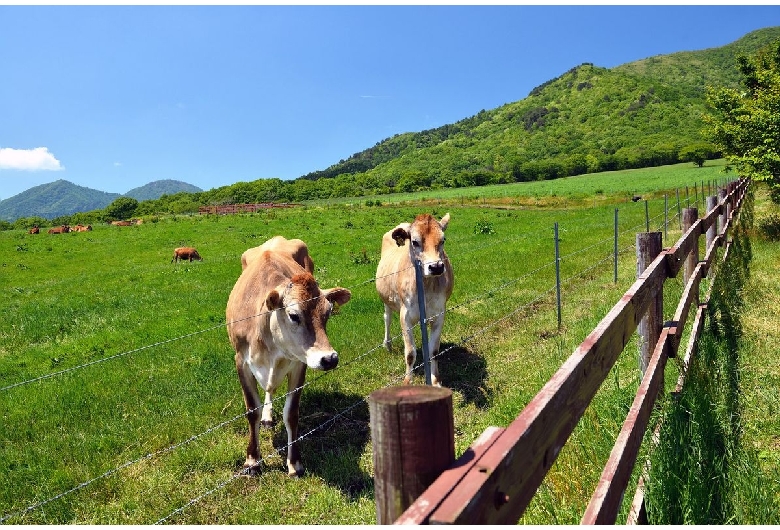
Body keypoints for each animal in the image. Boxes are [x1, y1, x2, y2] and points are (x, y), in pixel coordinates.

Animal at [224, 237, 348, 472]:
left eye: (327, 313)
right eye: (293, 315)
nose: (329, 358)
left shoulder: (300, 364)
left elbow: (291, 413)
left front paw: (294, 462)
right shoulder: (240, 362)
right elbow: (251, 410)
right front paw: (252, 460)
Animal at [374, 210, 454, 384]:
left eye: (443, 240)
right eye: (415, 242)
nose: (436, 267)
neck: (426, 287)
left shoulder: (439, 314)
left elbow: (433, 351)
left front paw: (435, 381)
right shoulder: (405, 316)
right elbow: (410, 354)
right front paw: (407, 381)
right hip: (386, 299)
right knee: (387, 318)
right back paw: (387, 344)